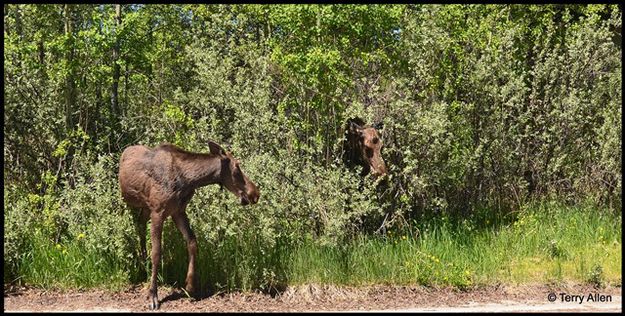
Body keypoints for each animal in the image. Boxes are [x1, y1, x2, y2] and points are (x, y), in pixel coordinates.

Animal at [118, 141, 258, 308]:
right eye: (237, 166)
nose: (255, 193)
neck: (187, 181)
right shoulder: (158, 212)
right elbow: (157, 253)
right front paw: (153, 296)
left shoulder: (178, 211)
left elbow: (192, 242)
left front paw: (190, 285)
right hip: (129, 202)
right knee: (137, 227)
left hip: (145, 207)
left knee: (140, 225)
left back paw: (143, 262)